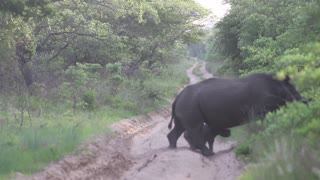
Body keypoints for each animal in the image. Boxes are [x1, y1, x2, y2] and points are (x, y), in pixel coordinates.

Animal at [168, 73, 308, 156]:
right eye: (293, 92)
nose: (306, 100)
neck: (277, 87)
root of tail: (177, 98)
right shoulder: (260, 111)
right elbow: (262, 127)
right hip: (189, 103)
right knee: (195, 128)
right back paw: (207, 153)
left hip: (187, 103)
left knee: (180, 127)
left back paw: (173, 148)